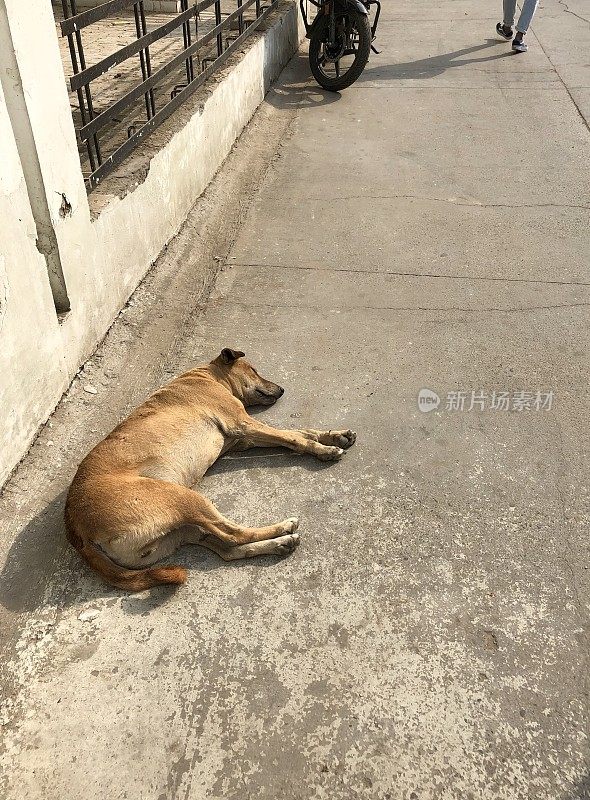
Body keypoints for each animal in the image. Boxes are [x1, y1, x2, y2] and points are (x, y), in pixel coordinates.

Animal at [67, 346, 358, 592]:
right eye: (254, 370)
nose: (282, 389)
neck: (210, 376)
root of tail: (76, 528)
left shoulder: (244, 439)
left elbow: (298, 432)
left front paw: (334, 436)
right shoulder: (243, 424)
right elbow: (295, 437)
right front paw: (325, 449)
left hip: (179, 533)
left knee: (226, 549)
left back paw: (279, 544)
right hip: (185, 499)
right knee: (233, 534)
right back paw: (283, 530)